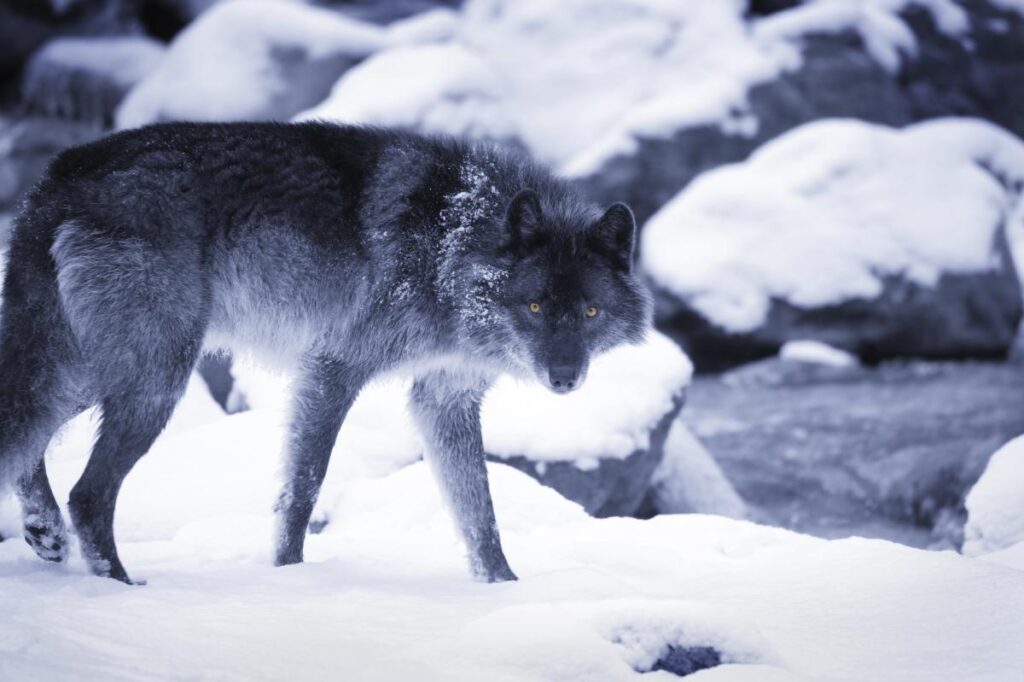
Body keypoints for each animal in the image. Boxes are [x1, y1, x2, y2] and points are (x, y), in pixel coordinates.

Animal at [0, 120, 651, 577]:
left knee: (29, 443)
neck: (453, 243)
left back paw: (45, 533)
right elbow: (303, 490)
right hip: (151, 378)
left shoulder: (443, 399)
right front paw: (290, 579)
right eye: (536, 308)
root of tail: (60, 174)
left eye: (589, 313)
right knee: (88, 493)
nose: (564, 377)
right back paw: (118, 586)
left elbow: (480, 516)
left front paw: (504, 589)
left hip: (91, 372)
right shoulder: (335, 368)